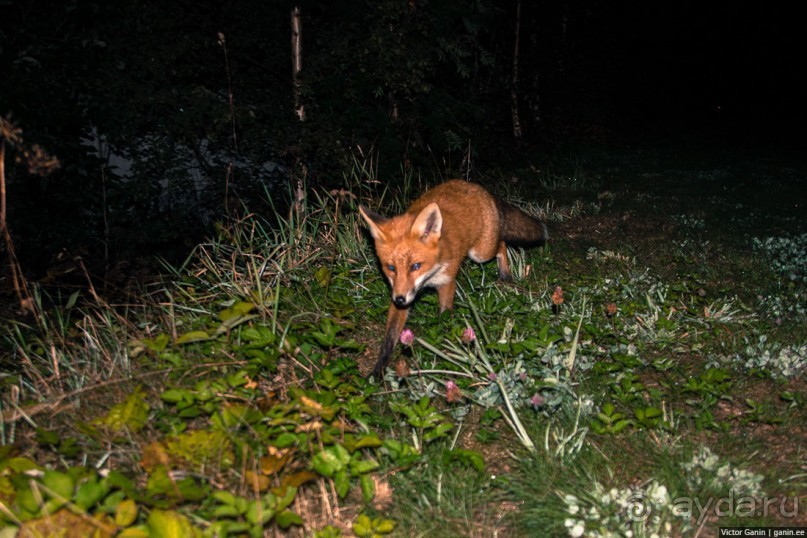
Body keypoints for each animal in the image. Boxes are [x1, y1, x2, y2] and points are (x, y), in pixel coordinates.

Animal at [362, 180, 548, 376]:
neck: (431, 274)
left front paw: (444, 350)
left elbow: (444, 318)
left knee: (502, 244)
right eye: (391, 268)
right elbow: (389, 338)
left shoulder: (446, 281)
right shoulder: (402, 292)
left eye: (416, 266)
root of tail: (476, 187)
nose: (399, 299)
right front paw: (379, 369)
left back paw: (505, 274)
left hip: (480, 253)